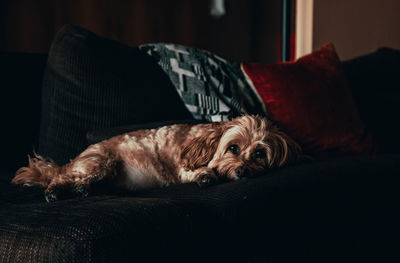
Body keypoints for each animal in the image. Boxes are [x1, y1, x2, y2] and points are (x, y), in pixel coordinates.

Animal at [10, 114, 302, 203]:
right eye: (233, 148)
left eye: (259, 154)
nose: (242, 171)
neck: (205, 139)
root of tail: (74, 159)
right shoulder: (183, 165)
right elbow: (200, 170)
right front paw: (207, 175)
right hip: (102, 162)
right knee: (62, 178)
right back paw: (56, 191)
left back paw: (83, 189)